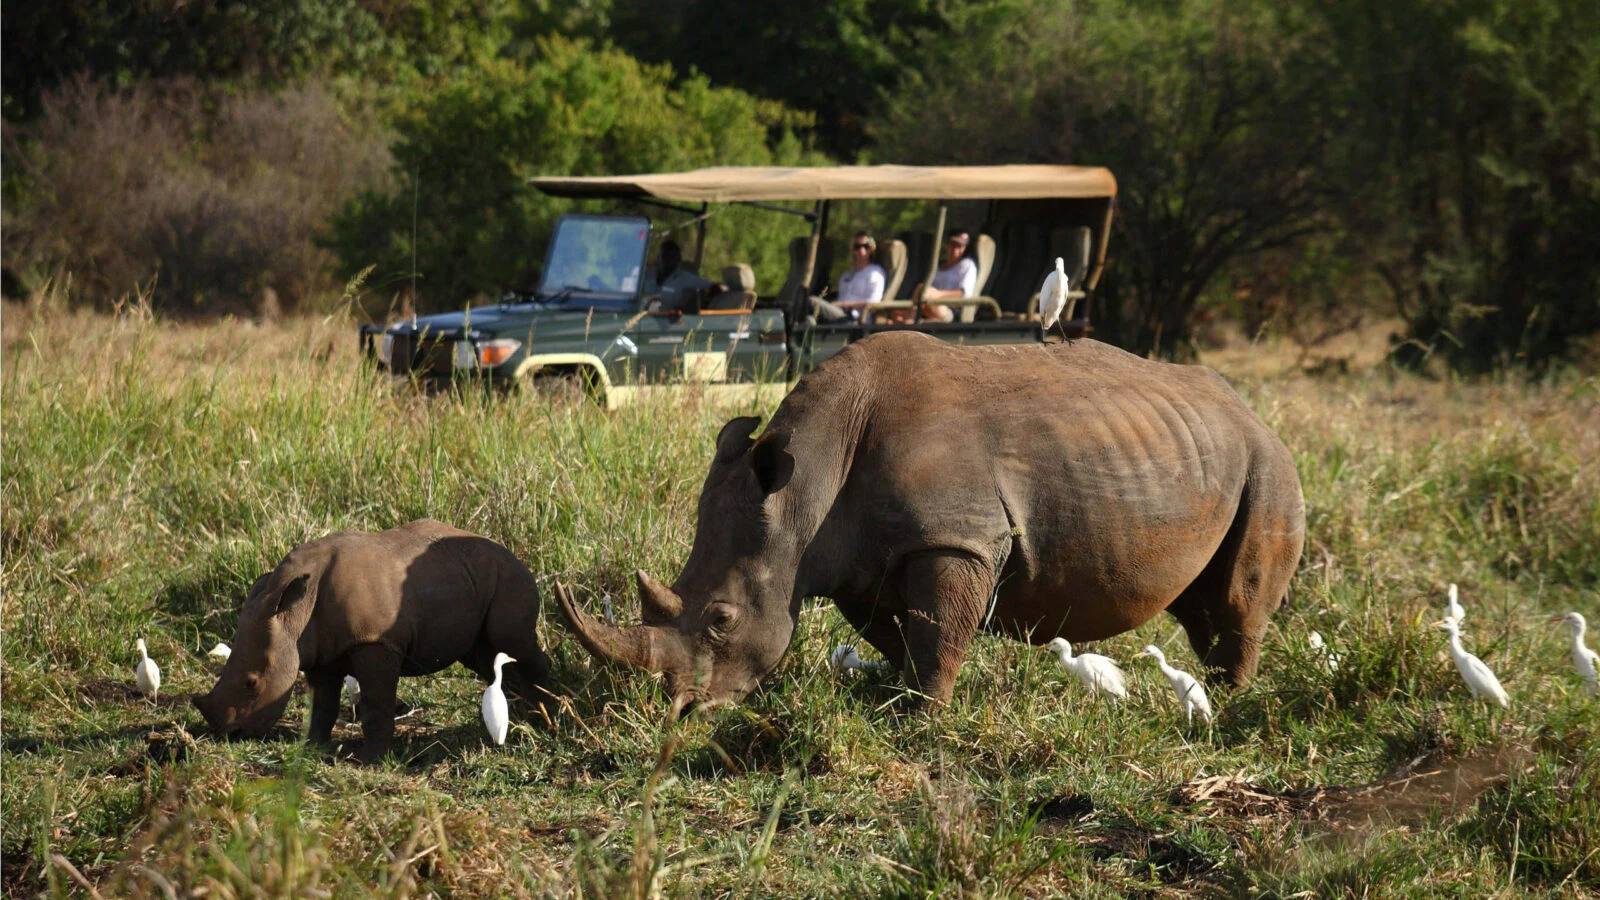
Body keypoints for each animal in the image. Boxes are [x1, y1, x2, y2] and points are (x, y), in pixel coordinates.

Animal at [193, 519, 553, 762]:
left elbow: (377, 704)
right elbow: (323, 703)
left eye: (252, 683)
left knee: (512, 641)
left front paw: (370, 759)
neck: (293, 612)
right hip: (470, 578)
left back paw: (546, 715)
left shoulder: (374, 641)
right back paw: (527, 716)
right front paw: (313, 746)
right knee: (486, 656)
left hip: (510, 578)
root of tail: (514, 555)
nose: (225, 733)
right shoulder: (320, 649)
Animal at [559, 331, 1305, 712]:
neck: (806, 485)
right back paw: (1216, 690)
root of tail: (1249, 407)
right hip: (1199, 451)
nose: (681, 710)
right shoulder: (857, 558)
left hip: (1269, 463)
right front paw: (897, 696)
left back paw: (1230, 701)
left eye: (721, 619)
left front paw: (925, 717)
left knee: (1236, 598)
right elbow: (897, 635)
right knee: (1200, 603)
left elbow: (940, 631)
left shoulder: (955, 539)